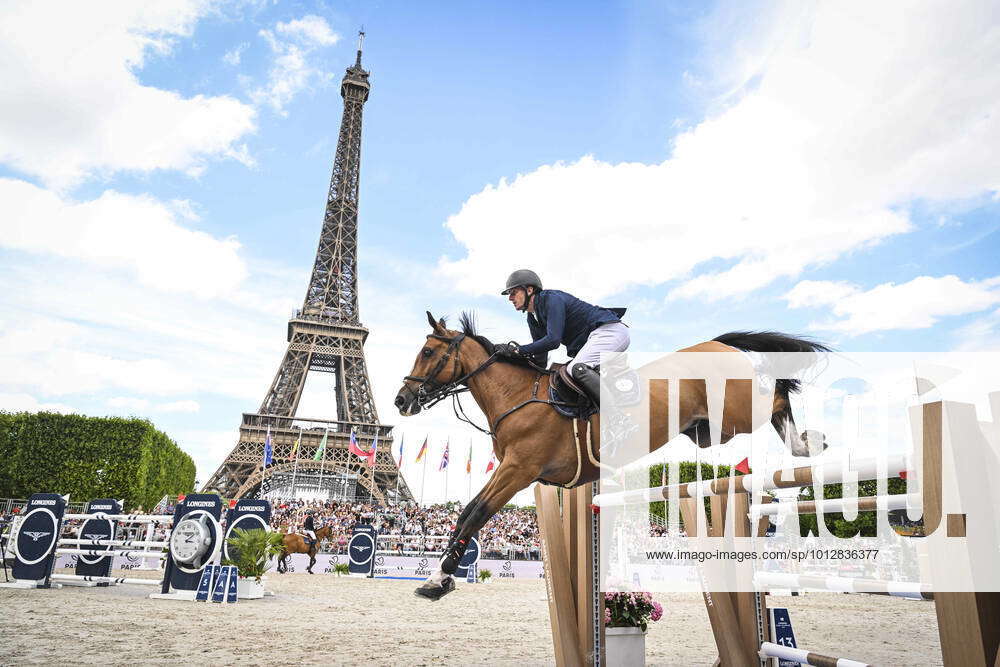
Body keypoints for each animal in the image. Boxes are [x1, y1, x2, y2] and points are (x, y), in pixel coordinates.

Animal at [394, 312, 832, 600]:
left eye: (428, 351)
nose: (401, 400)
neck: (516, 396)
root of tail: (717, 342)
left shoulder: (519, 469)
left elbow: (476, 512)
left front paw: (437, 579)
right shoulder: (513, 471)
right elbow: (468, 512)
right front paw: (441, 576)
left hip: (738, 409)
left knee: (777, 389)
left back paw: (808, 442)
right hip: (710, 432)